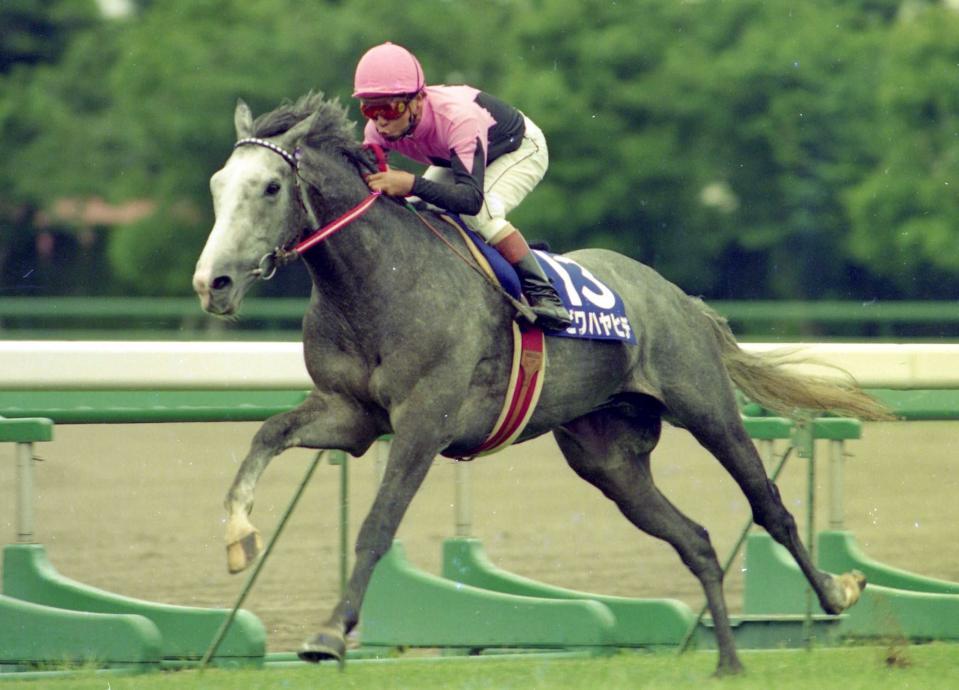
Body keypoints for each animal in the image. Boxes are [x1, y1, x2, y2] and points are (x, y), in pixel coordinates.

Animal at [192, 91, 889, 676]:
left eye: (271, 186)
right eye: (219, 185)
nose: (212, 283)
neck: (375, 279)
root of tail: (680, 297)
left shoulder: (424, 421)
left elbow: (377, 524)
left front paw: (331, 634)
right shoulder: (352, 415)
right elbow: (266, 436)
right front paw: (237, 535)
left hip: (708, 409)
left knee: (769, 507)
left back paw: (838, 591)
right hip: (608, 460)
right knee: (695, 540)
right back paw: (728, 662)